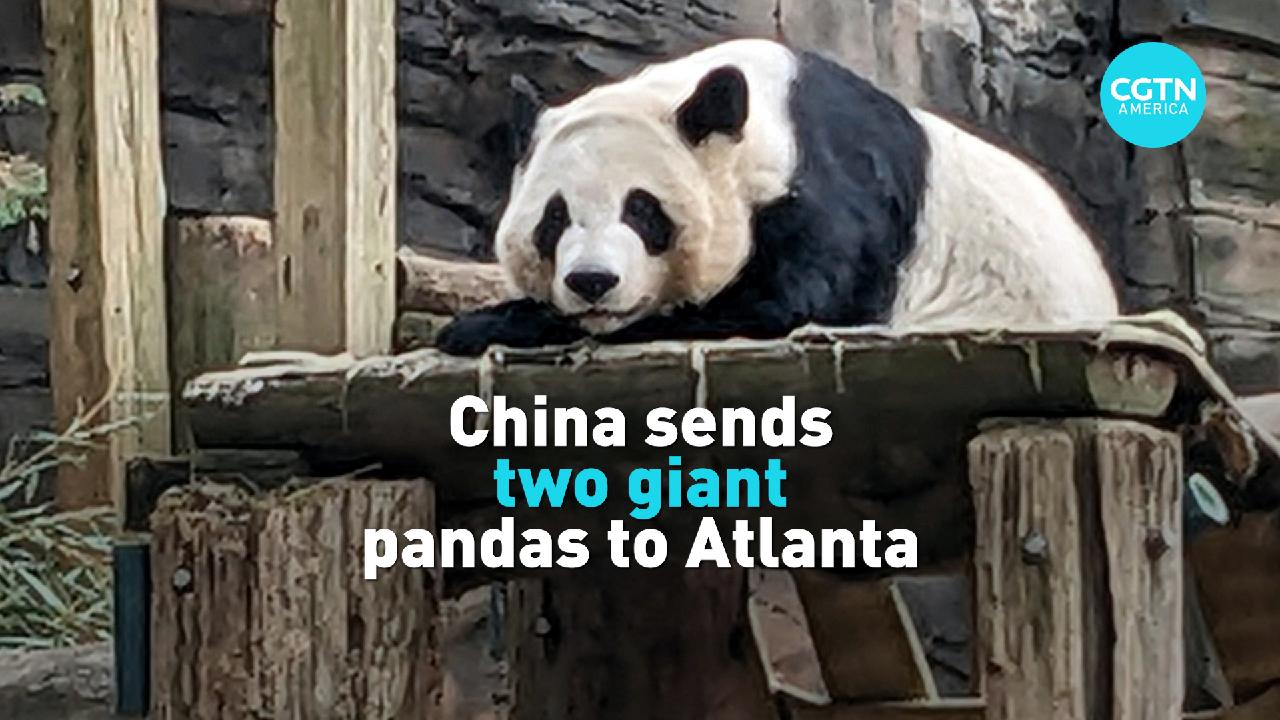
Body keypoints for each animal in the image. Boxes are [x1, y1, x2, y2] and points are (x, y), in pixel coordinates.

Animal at [437, 39, 1118, 356]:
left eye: (643, 210)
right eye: (554, 219)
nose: (593, 282)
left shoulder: (834, 192)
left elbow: (778, 305)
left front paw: (485, 324)